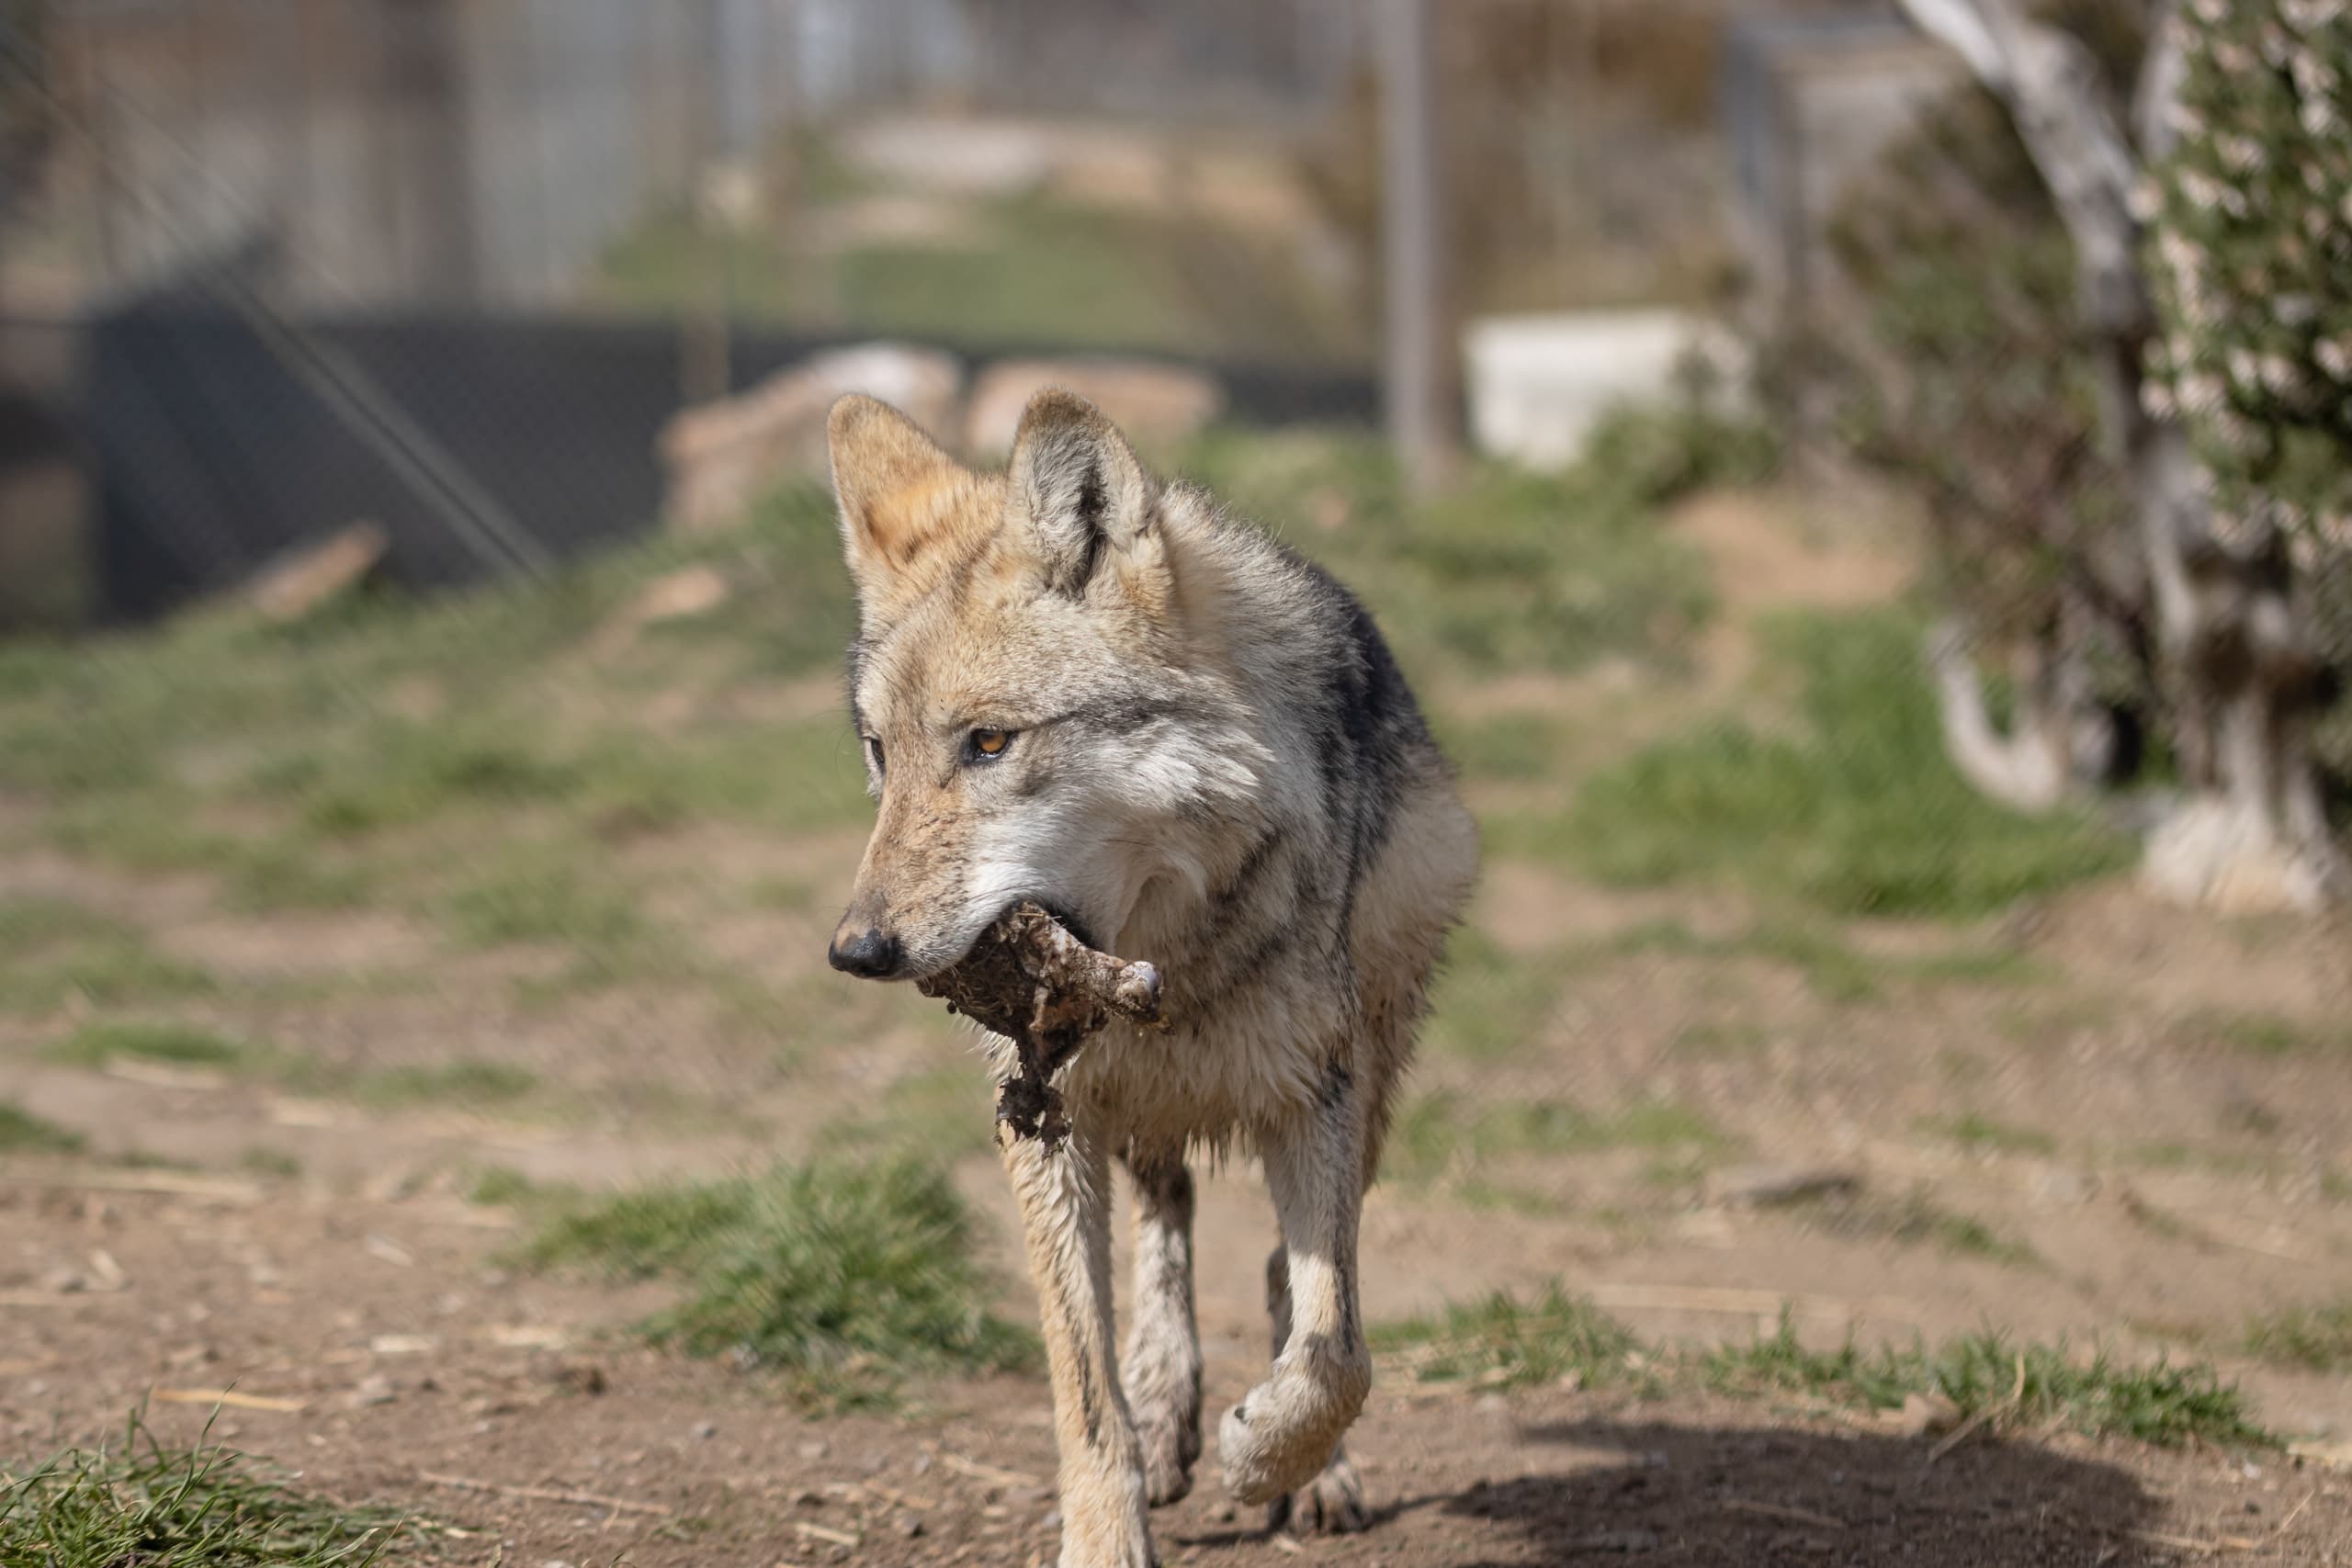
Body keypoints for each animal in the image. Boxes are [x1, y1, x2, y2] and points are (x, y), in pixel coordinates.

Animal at [824, 387, 1478, 1568]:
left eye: (989, 743)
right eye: (880, 756)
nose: (857, 951)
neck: (1171, 973)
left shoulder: (1313, 1096)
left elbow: (1337, 1350)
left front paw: (1268, 1457)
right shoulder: (1043, 1120)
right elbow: (1083, 1388)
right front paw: (1108, 1527)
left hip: (1373, 1072)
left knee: (1291, 1275)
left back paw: (1299, 1465)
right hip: (1138, 1117)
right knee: (1163, 1220)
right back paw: (1169, 1403)